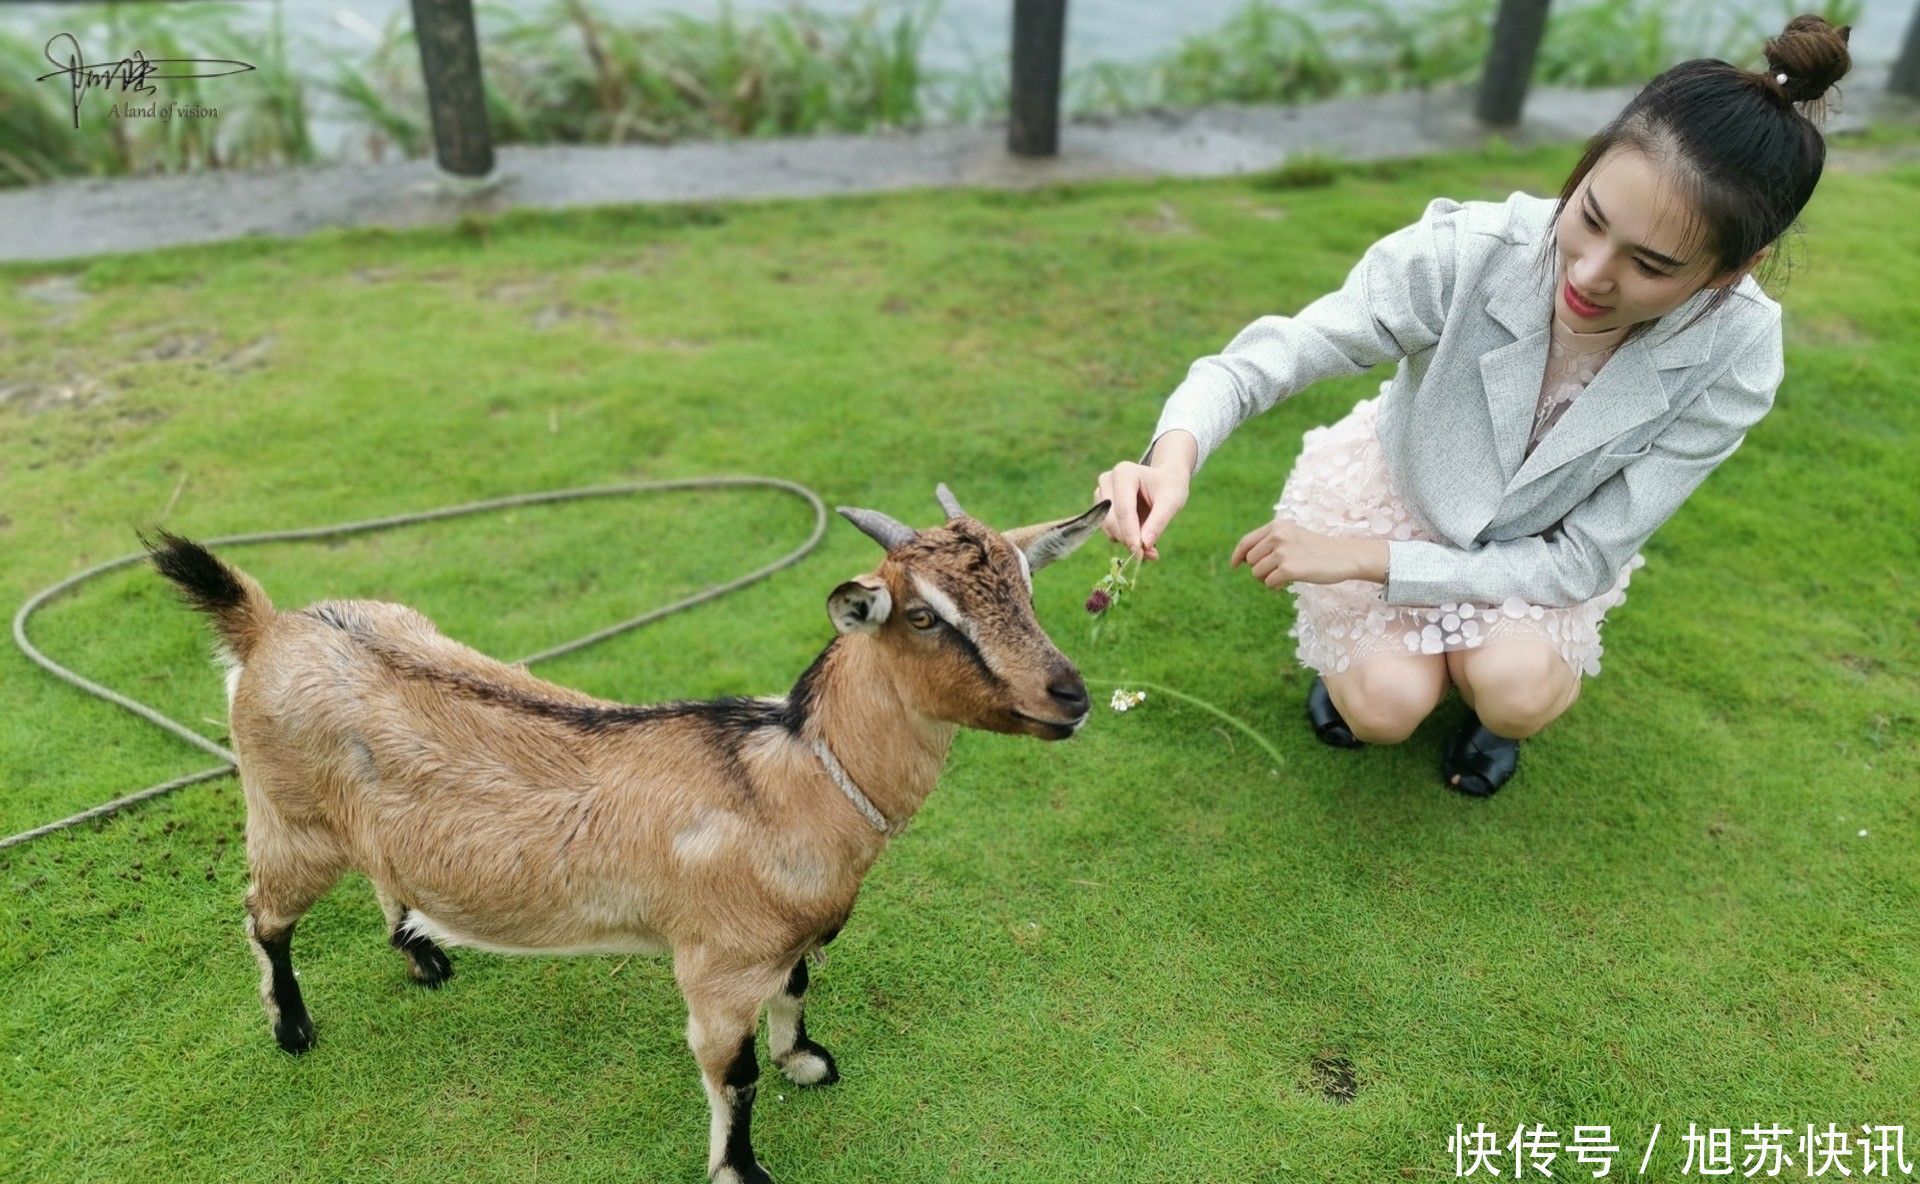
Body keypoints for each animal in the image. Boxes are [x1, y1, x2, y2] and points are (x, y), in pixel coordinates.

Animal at [142, 485, 1113, 1174]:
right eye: (923, 616)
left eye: (1028, 587)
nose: (1070, 696)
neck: (790, 776)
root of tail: (267, 629)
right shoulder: (718, 966)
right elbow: (733, 1076)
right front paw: (742, 1170)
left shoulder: (786, 941)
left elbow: (798, 995)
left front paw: (806, 1062)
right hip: (289, 820)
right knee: (265, 918)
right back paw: (293, 1029)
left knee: (384, 873)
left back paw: (422, 953)